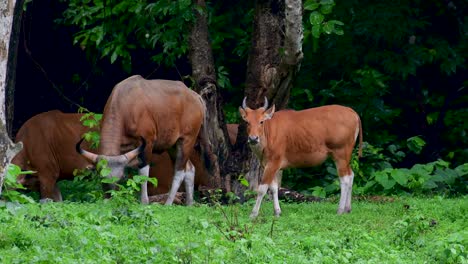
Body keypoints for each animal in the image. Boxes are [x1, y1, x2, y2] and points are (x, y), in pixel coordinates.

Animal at [77, 75, 214, 205]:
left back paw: (168, 203)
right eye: (102, 178)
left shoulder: (147, 143)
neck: (126, 105)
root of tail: (196, 96)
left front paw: (143, 201)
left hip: (187, 140)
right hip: (172, 145)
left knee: (179, 171)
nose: (111, 198)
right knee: (190, 168)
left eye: (121, 178)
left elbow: (143, 173)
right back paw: (189, 203)